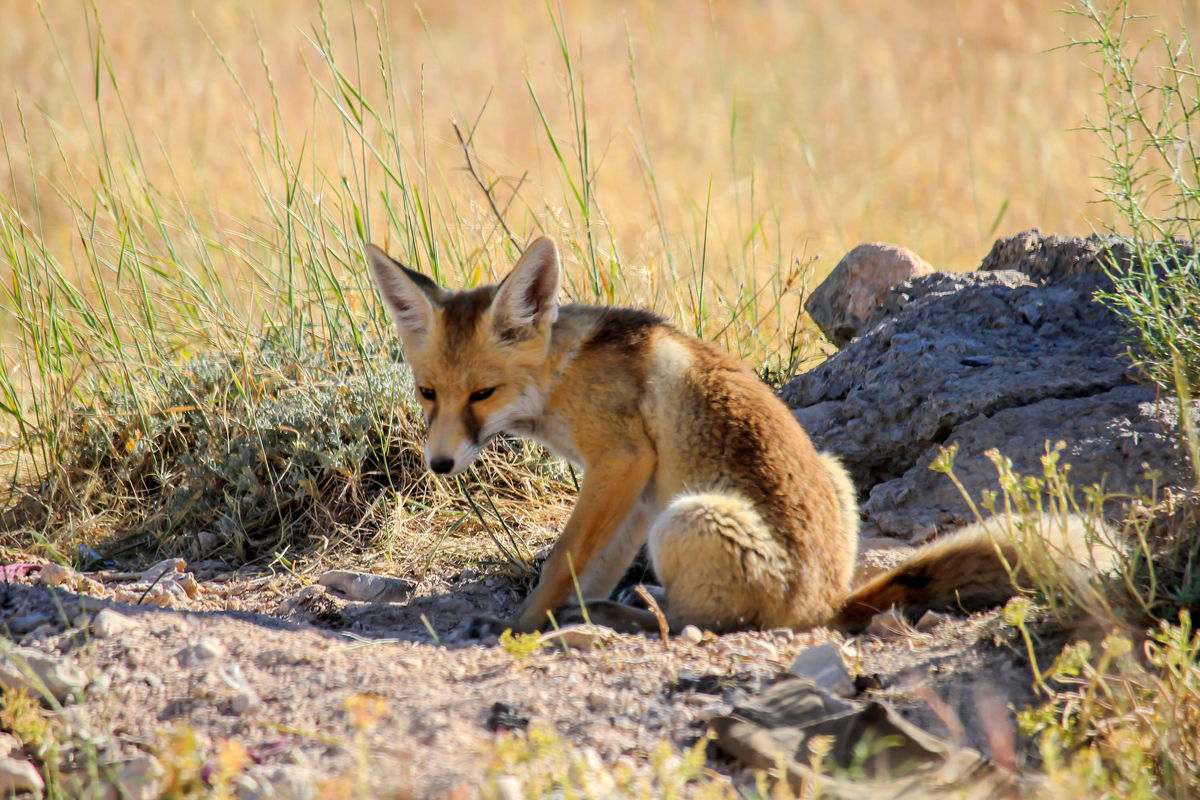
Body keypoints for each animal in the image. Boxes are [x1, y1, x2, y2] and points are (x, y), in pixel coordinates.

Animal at [364, 237, 1113, 638]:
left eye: (481, 395)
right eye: (428, 394)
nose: (438, 465)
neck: (564, 371)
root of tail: (828, 604)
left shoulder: (621, 461)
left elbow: (561, 560)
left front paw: (521, 629)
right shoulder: (636, 488)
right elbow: (590, 565)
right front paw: (549, 619)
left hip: (688, 518)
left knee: (711, 625)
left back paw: (633, 615)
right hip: (812, 476)